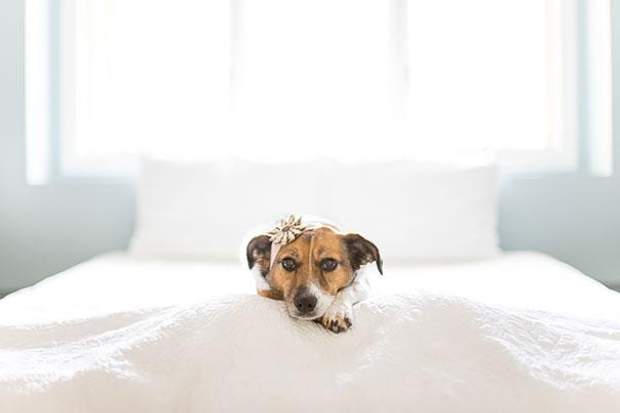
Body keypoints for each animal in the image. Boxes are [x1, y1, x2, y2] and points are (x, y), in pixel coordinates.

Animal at [246, 215, 382, 333]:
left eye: (329, 263)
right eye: (288, 263)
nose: (306, 302)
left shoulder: (362, 283)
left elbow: (349, 290)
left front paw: (337, 312)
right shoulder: (263, 288)